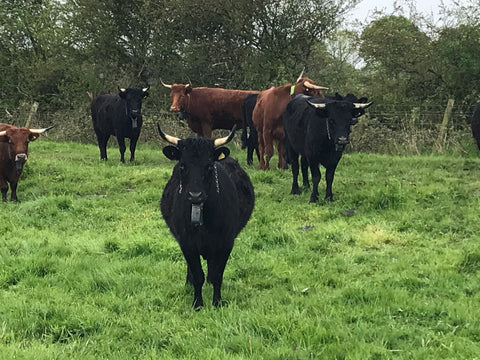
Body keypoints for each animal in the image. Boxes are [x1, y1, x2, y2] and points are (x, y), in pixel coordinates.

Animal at [158, 124, 255, 310]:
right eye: (182, 166)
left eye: (209, 166)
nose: (195, 195)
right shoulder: (187, 243)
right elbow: (197, 274)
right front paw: (197, 304)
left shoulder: (226, 243)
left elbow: (218, 274)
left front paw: (217, 302)